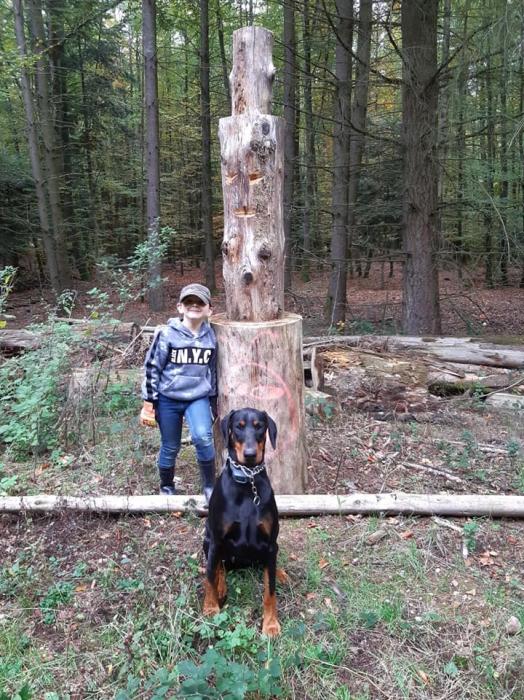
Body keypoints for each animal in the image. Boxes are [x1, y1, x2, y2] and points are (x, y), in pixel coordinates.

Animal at [203, 407, 288, 637]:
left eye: (259, 426)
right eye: (238, 427)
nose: (250, 455)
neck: (247, 484)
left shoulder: (270, 544)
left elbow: (270, 590)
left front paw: (270, 624)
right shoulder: (216, 540)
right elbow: (210, 577)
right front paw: (210, 608)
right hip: (207, 539)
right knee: (218, 567)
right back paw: (221, 585)